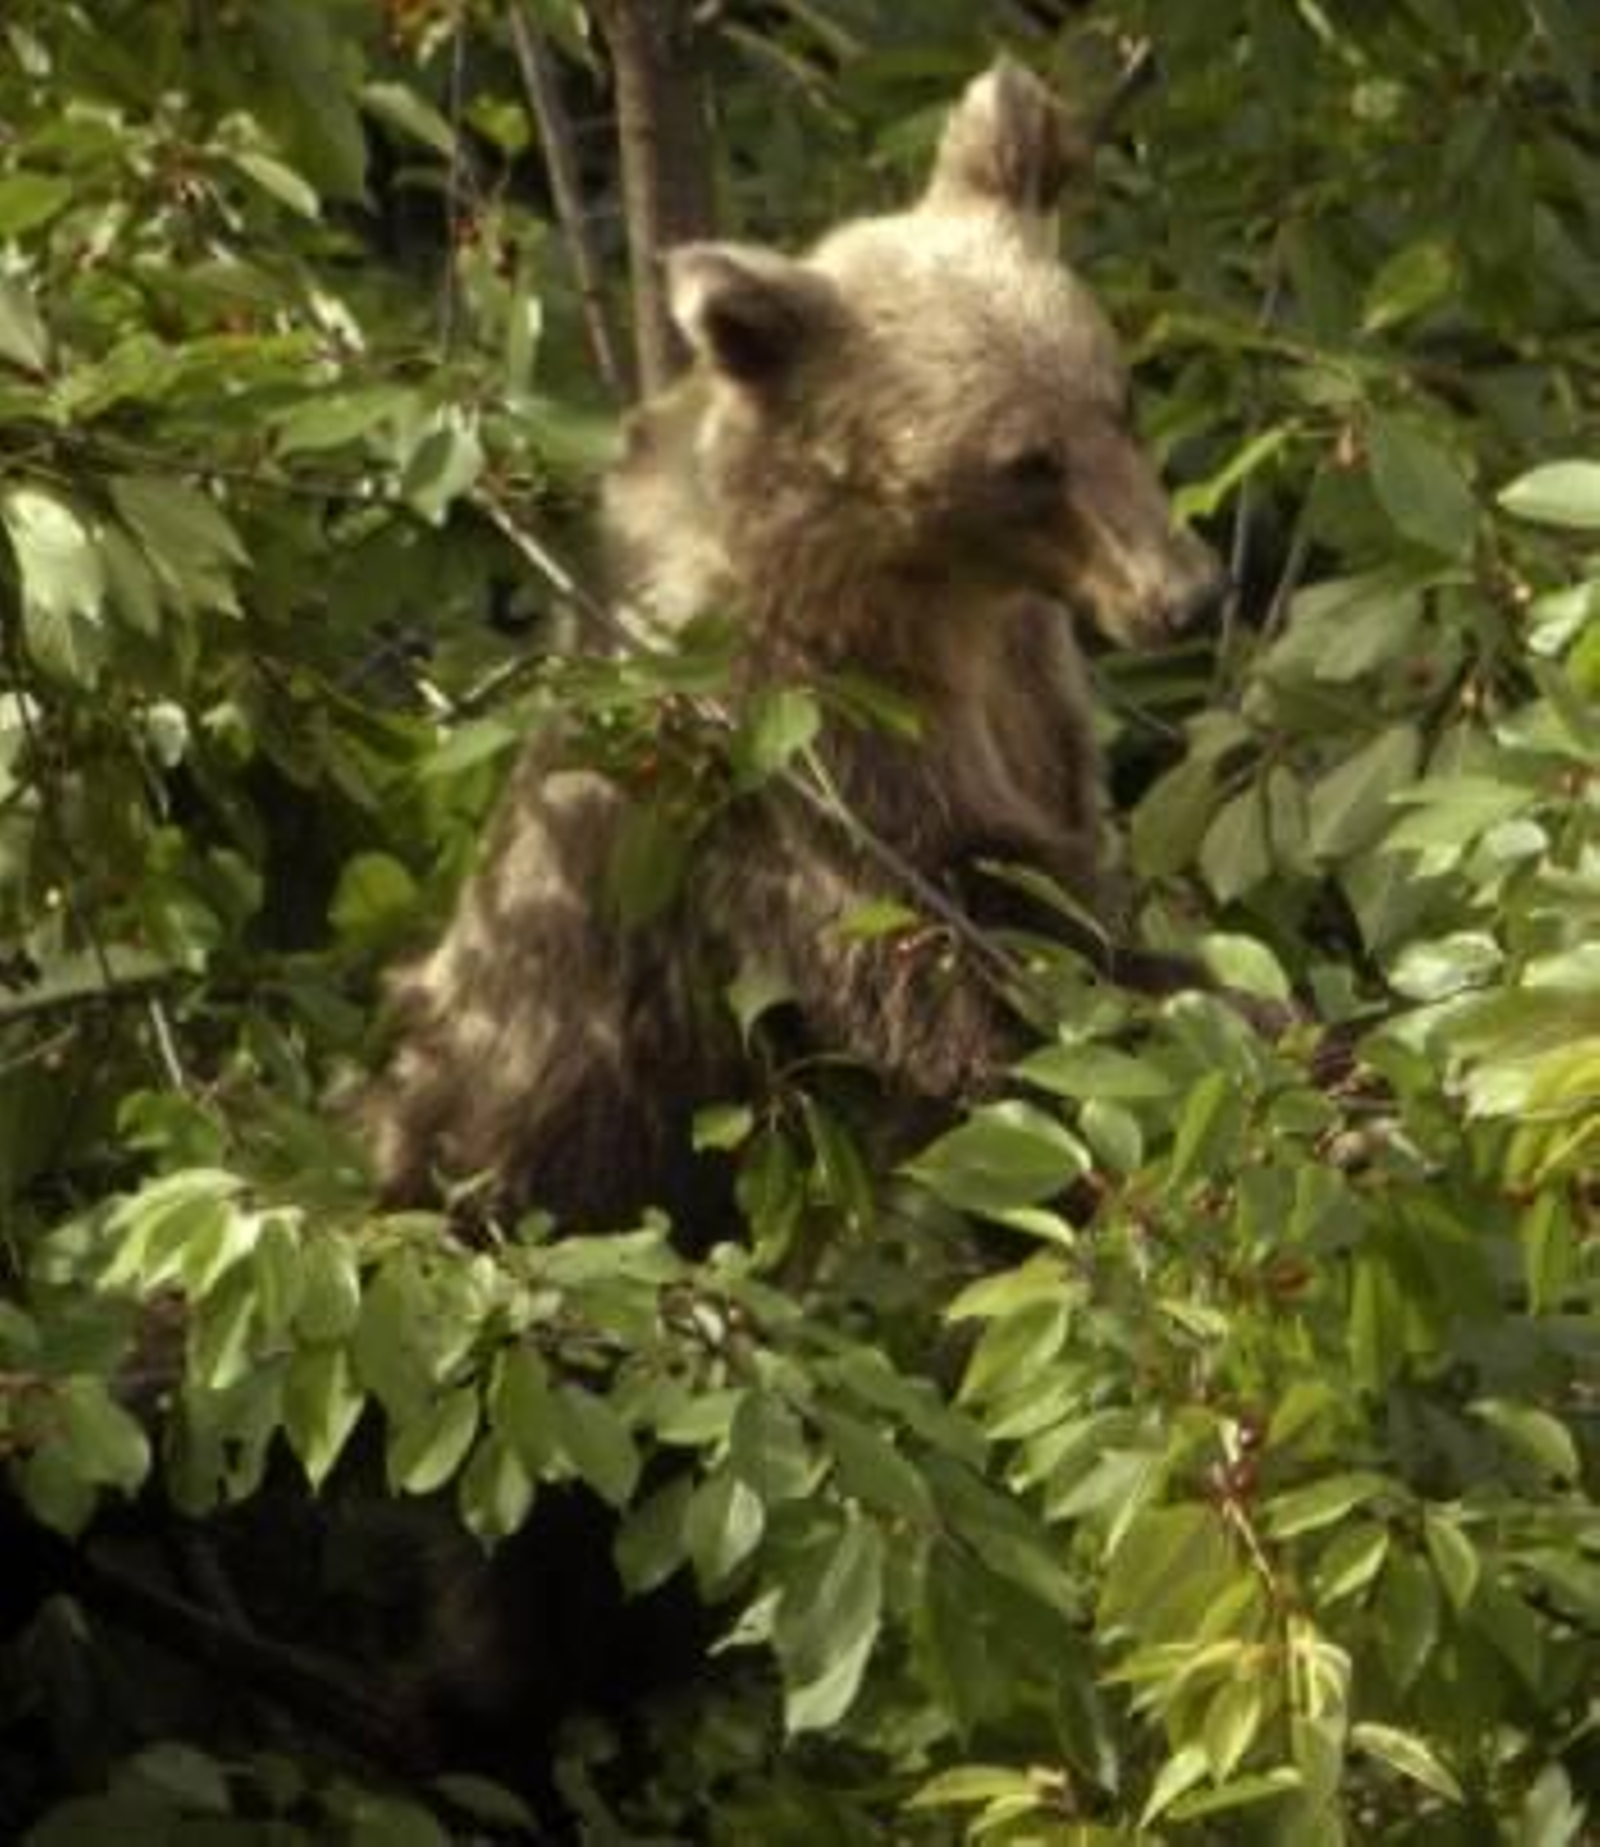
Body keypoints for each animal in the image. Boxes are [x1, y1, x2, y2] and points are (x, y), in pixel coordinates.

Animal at [359, 57, 1224, 1238]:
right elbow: (958, 948)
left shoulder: (1027, 686)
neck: (926, 591)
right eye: (1025, 461)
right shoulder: (804, 738)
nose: (1185, 595)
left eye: (1119, 399)